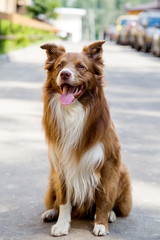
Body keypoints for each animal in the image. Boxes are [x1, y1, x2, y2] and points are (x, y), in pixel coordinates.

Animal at [40, 40, 132, 236]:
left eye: (81, 66)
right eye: (60, 65)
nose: (65, 74)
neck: (74, 110)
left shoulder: (108, 163)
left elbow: (104, 198)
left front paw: (101, 224)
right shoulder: (61, 163)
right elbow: (64, 199)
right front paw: (61, 224)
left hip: (122, 173)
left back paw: (111, 214)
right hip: (52, 177)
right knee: (55, 200)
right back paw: (51, 212)